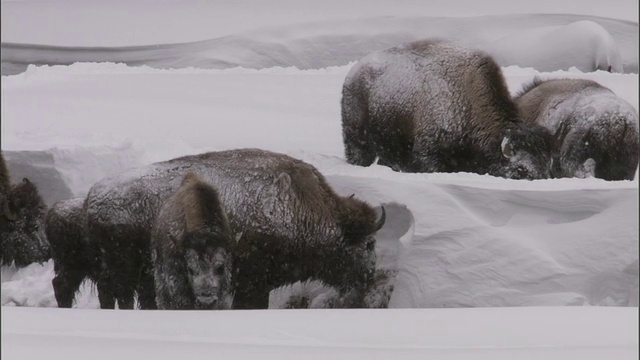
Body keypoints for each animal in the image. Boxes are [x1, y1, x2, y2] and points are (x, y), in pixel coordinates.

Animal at [340, 39, 556, 180]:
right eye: (521, 170)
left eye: (546, 167)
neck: (468, 97)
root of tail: (354, 72)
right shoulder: (429, 153)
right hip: (357, 137)